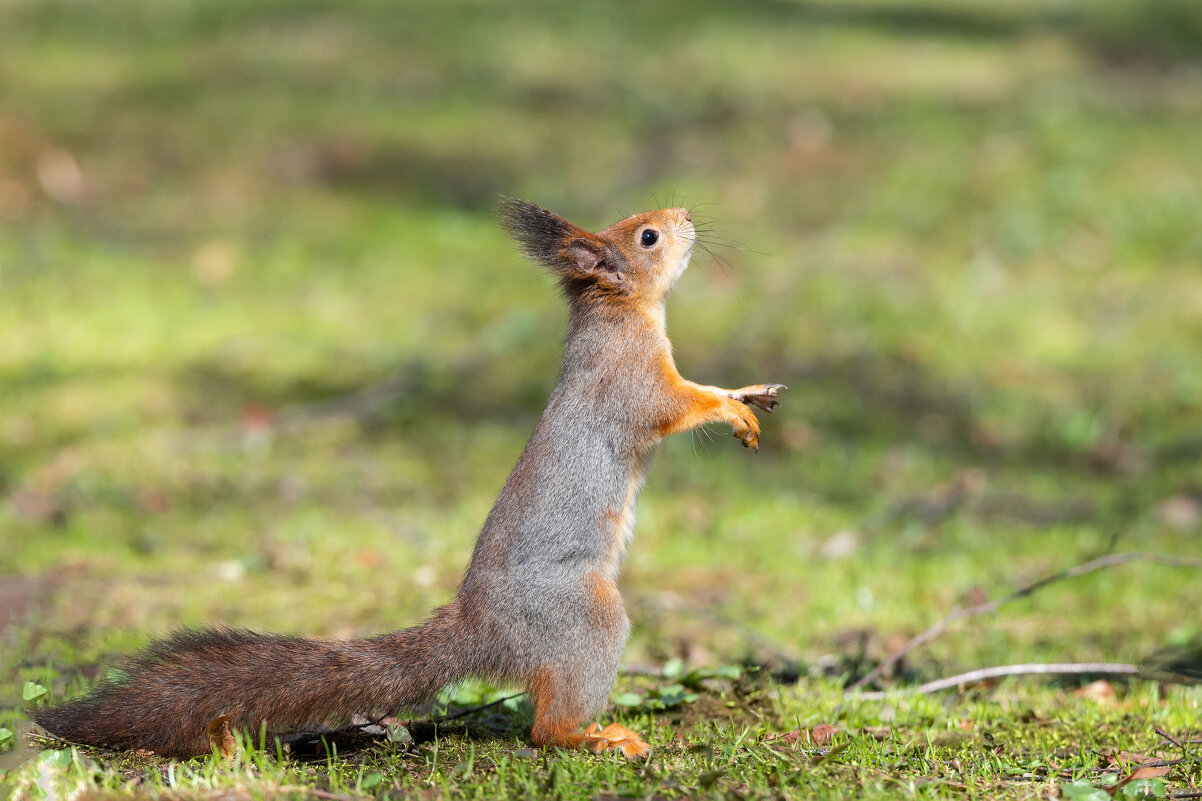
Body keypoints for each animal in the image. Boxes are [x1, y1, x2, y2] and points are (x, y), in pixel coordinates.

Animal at [35, 196, 778, 760]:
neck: (620, 315)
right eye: (648, 236)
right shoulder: (634, 382)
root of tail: (481, 627)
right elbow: (674, 405)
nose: (685, 213)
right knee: (544, 727)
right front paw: (732, 406)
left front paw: (749, 394)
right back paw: (594, 736)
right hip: (586, 619)